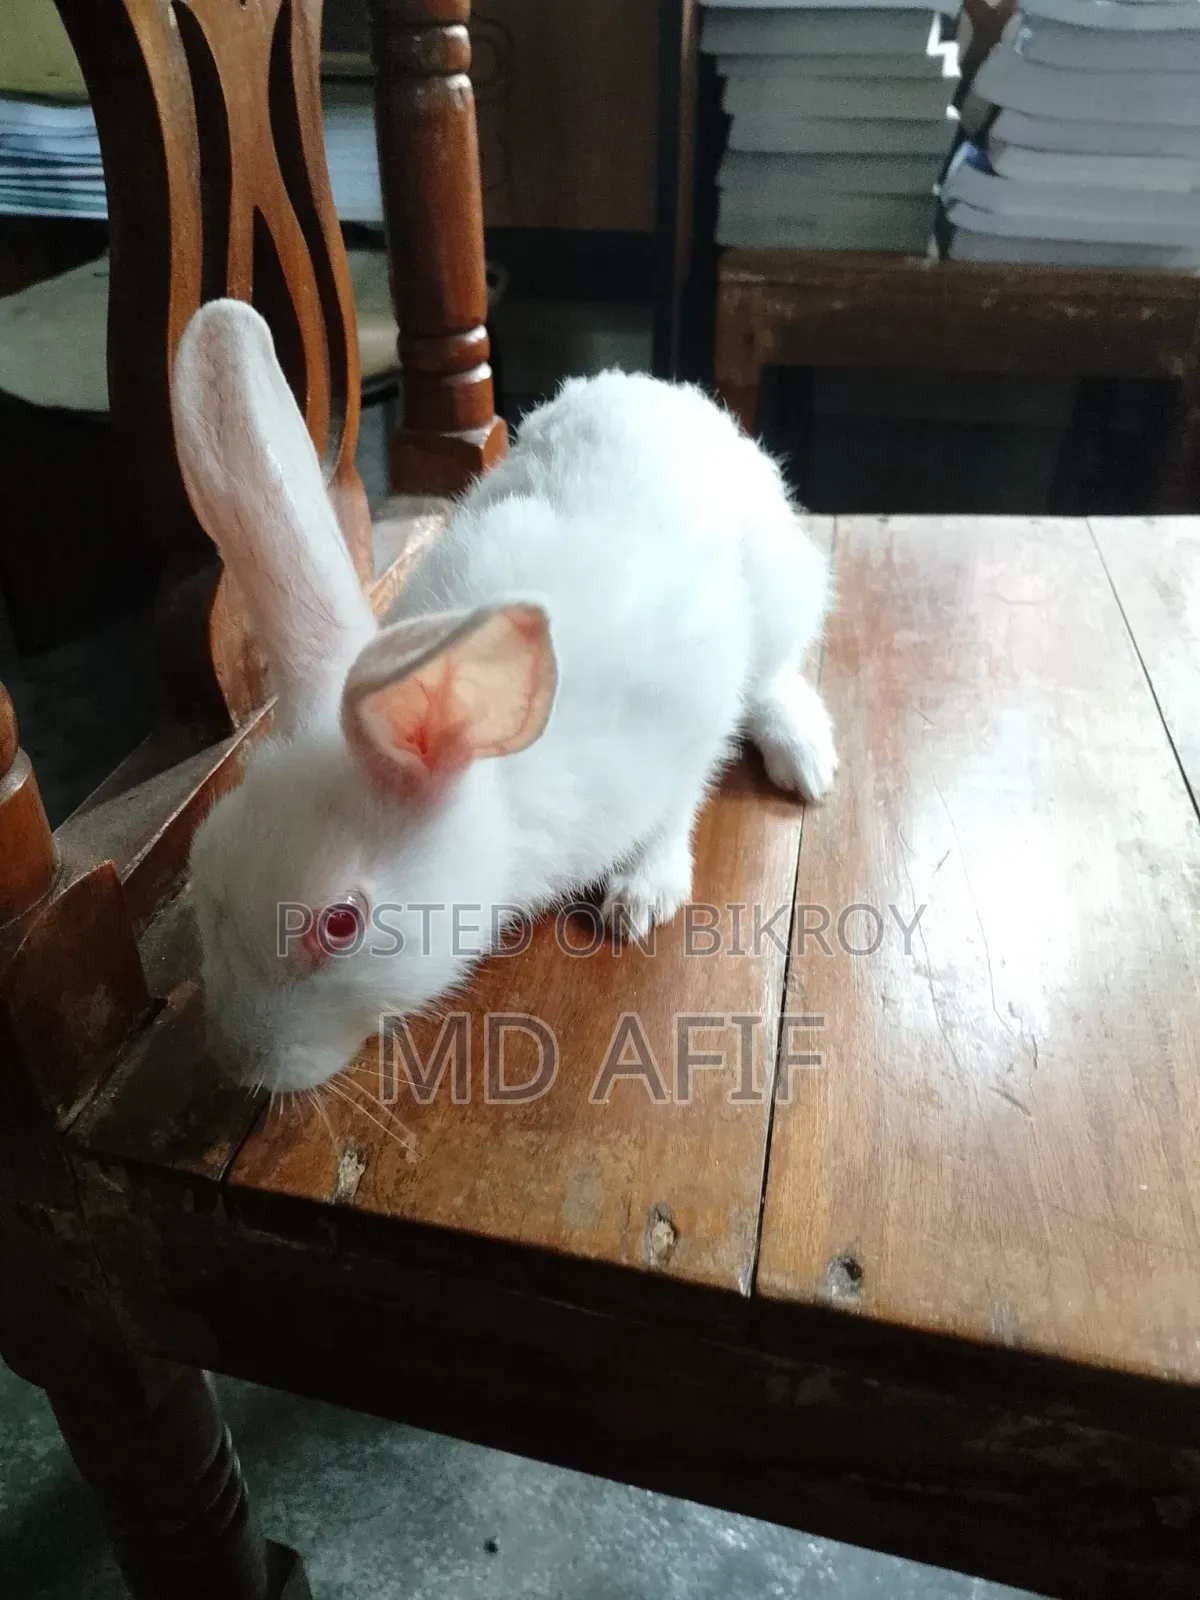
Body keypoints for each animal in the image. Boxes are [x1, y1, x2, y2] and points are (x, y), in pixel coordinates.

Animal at [170, 298, 837, 1094]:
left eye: (340, 924)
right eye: (203, 860)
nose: (238, 1062)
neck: (498, 786)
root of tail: (666, 392)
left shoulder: (690, 715)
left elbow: (680, 802)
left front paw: (641, 894)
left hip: (780, 595)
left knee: (776, 676)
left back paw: (805, 757)